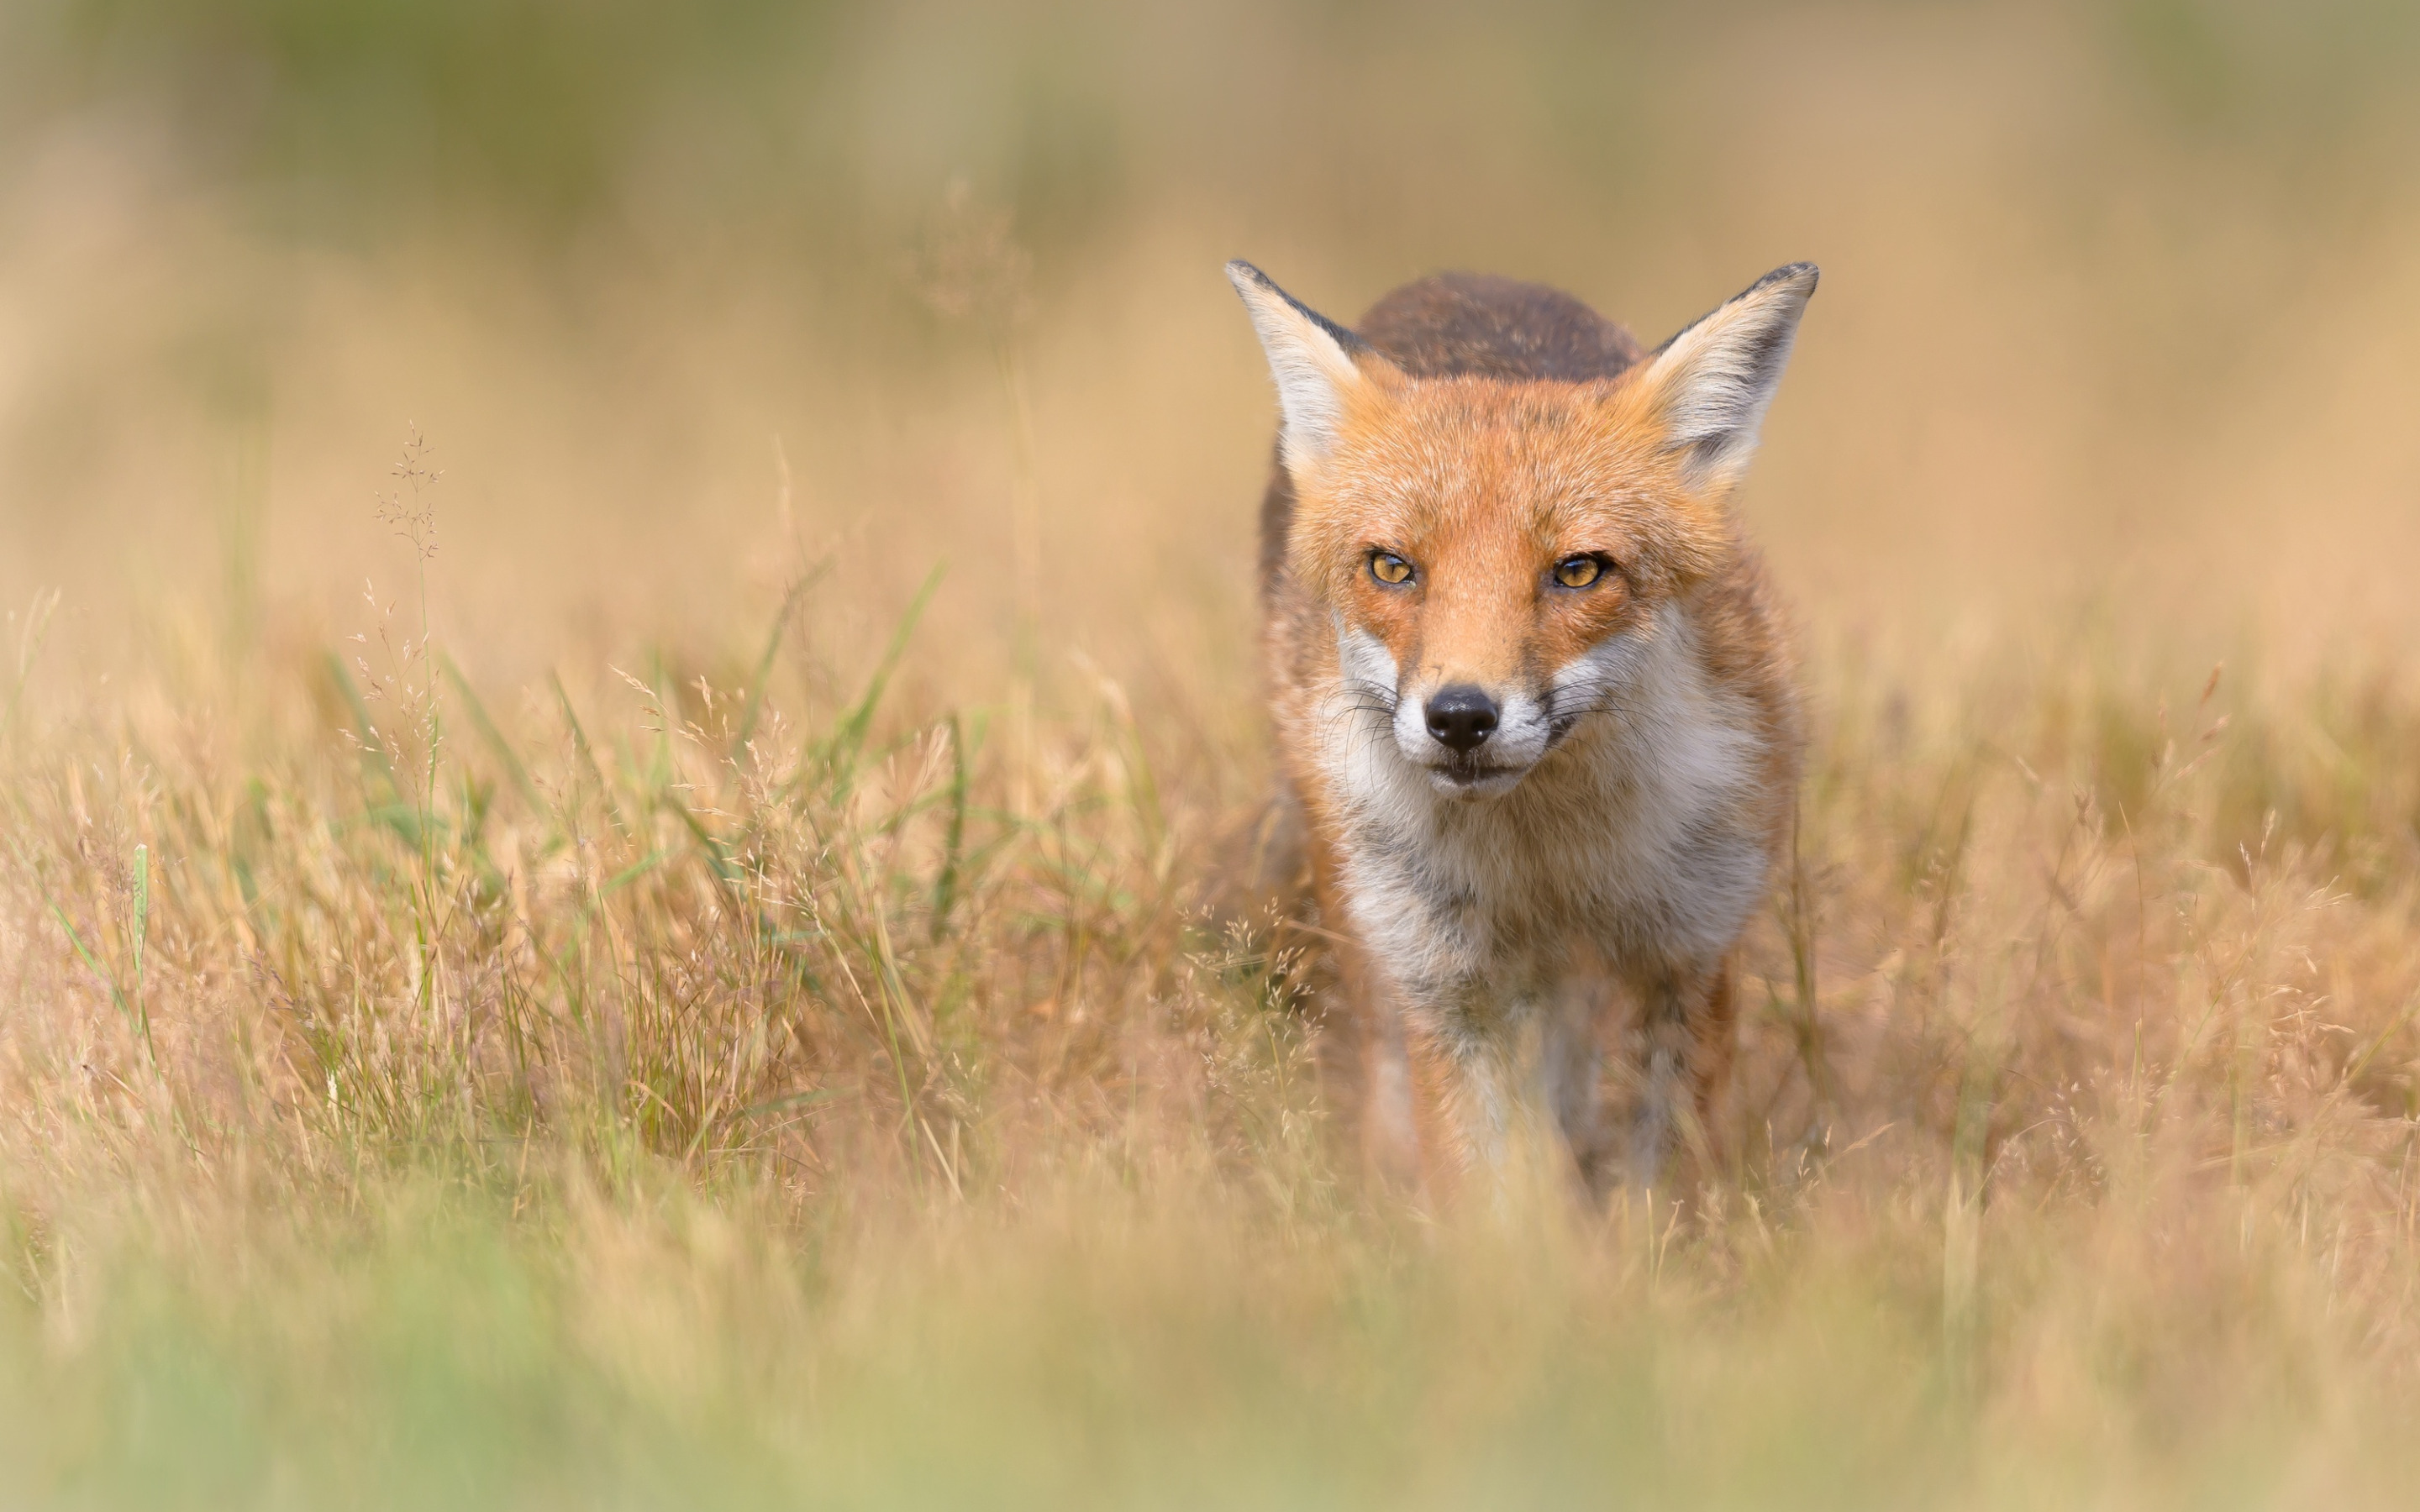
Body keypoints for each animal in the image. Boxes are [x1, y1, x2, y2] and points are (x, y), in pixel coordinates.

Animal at [1229, 262, 1819, 1205]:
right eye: (1392, 567)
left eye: (1577, 571)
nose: (1461, 718)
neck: (1546, 857)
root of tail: (1462, 276)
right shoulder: (1447, 986)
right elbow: (1480, 1192)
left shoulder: (1689, 953)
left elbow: (1665, 1187)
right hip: (1366, 908)